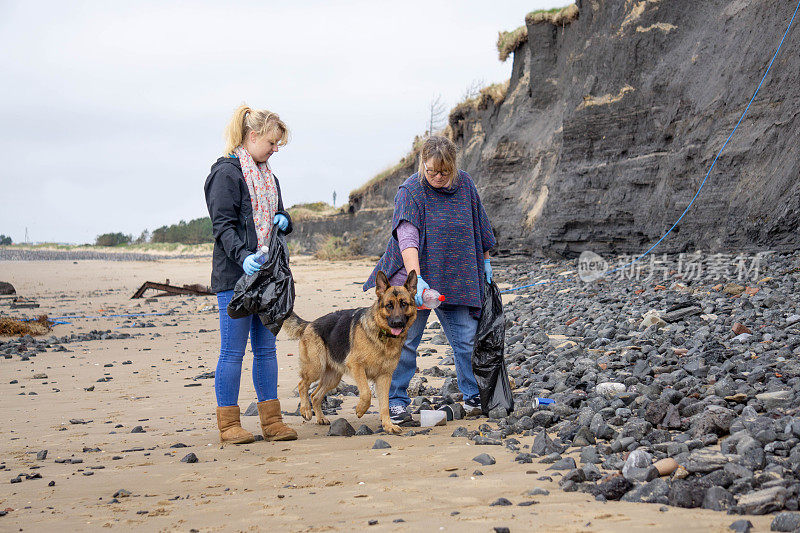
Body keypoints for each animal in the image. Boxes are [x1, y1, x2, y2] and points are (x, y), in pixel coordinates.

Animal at [282, 270, 418, 432]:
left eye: (404, 304)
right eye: (389, 305)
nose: (397, 323)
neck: (382, 334)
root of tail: (310, 324)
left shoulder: (384, 377)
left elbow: (385, 404)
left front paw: (388, 425)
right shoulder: (357, 366)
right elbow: (366, 393)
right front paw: (360, 410)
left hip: (332, 378)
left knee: (315, 395)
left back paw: (320, 418)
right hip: (315, 368)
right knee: (302, 385)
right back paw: (306, 410)